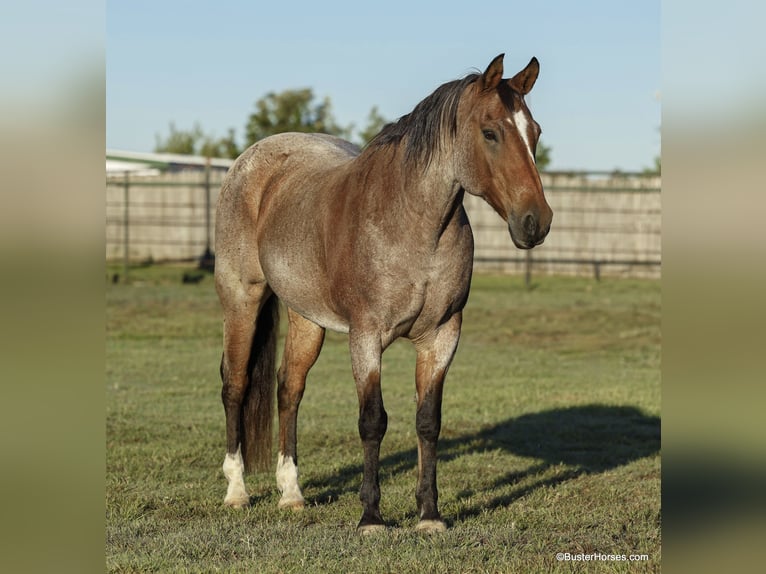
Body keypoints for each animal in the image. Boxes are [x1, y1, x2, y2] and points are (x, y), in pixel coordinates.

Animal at [214, 54, 552, 536]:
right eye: (491, 132)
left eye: (535, 131)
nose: (536, 222)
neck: (413, 224)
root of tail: (250, 161)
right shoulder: (366, 337)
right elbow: (373, 421)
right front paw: (371, 517)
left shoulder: (441, 336)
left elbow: (428, 422)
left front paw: (429, 516)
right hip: (241, 300)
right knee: (236, 386)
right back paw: (237, 492)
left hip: (306, 318)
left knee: (289, 389)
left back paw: (292, 495)